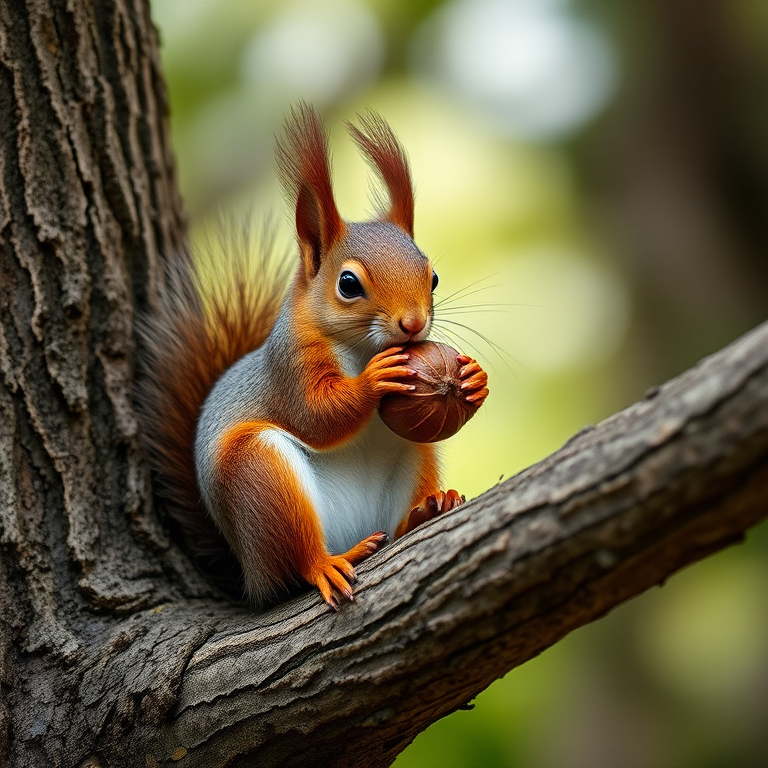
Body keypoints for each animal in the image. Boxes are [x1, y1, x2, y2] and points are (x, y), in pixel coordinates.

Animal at [139, 104, 489, 609]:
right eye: (348, 284)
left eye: (434, 277)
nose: (413, 323)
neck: (362, 347)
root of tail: (251, 576)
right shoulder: (291, 365)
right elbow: (315, 415)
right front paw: (372, 381)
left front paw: (475, 378)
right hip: (260, 480)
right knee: (297, 562)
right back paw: (327, 564)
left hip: (416, 455)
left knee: (398, 520)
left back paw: (425, 512)